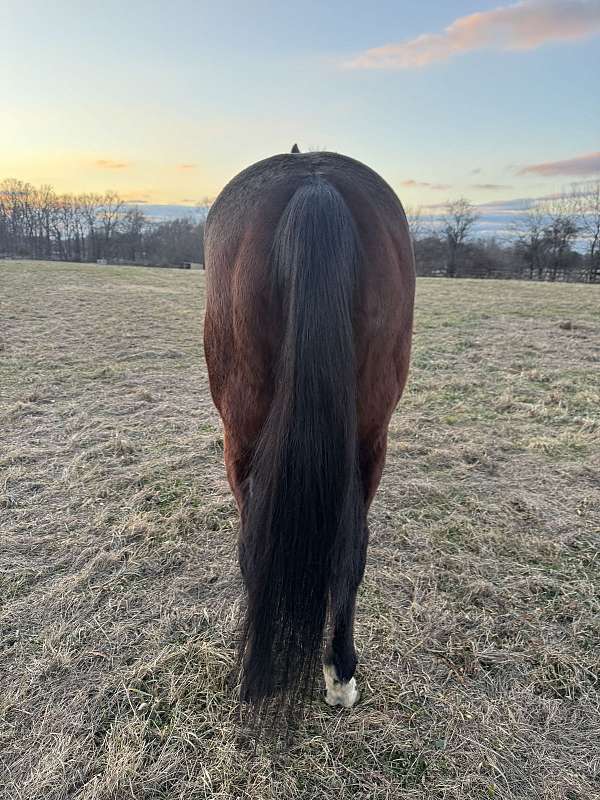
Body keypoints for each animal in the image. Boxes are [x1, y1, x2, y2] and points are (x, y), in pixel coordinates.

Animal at [203, 146, 415, 725]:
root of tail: (313, 180)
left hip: (240, 437)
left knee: (253, 546)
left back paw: (259, 673)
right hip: (369, 439)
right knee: (353, 545)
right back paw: (340, 673)